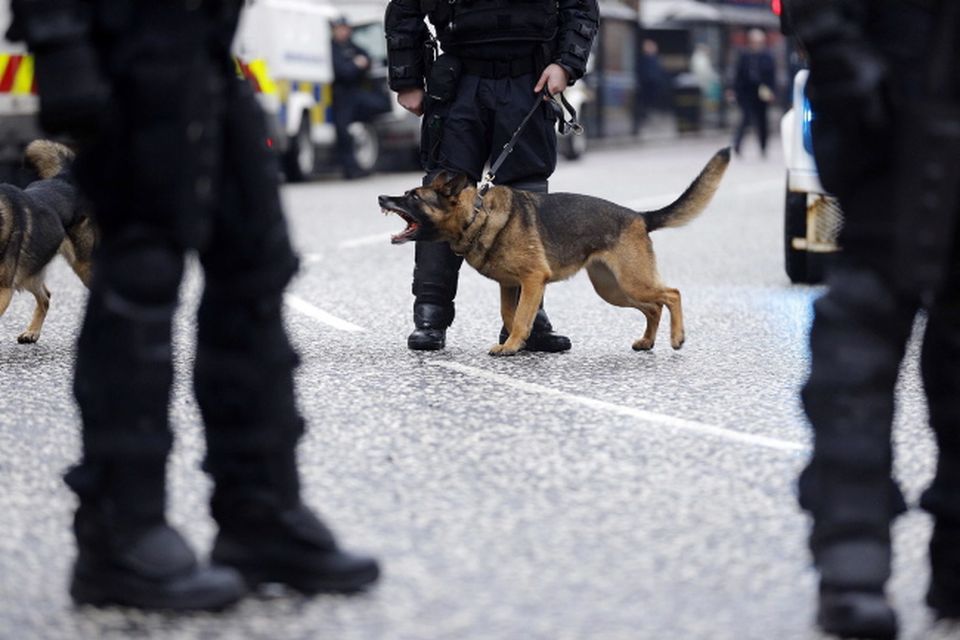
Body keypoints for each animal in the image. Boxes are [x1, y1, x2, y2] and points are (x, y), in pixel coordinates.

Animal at [0, 141, 95, 344]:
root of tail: (65, 178)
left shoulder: (3, 289)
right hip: (30, 274)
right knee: (46, 297)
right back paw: (32, 332)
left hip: (85, 267)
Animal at [378, 150, 732, 358]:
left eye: (412, 196)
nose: (381, 197)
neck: (476, 214)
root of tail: (639, 216)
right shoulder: (511, 286)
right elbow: (511, 314)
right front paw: (519, 343)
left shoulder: (534, 280)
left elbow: (522, 317)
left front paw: (512, 345)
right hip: (614, 289)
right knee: (653, 308)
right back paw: (647, 342)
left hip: (632, 282)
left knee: (671, 294)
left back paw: (677, 337)